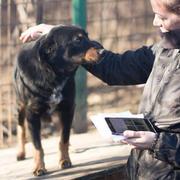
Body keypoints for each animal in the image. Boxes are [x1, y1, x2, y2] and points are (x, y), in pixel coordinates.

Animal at [13, 25, 102, 176]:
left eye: (87, 36)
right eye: (77, 39)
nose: (103, 51)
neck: (54, 75)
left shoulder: (68, 109)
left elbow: (64, 139)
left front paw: (64, 160)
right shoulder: (32, 114)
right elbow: (37, 146)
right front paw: (39, 167)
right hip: (20, 106)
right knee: (21, 128)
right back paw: (20, 153)